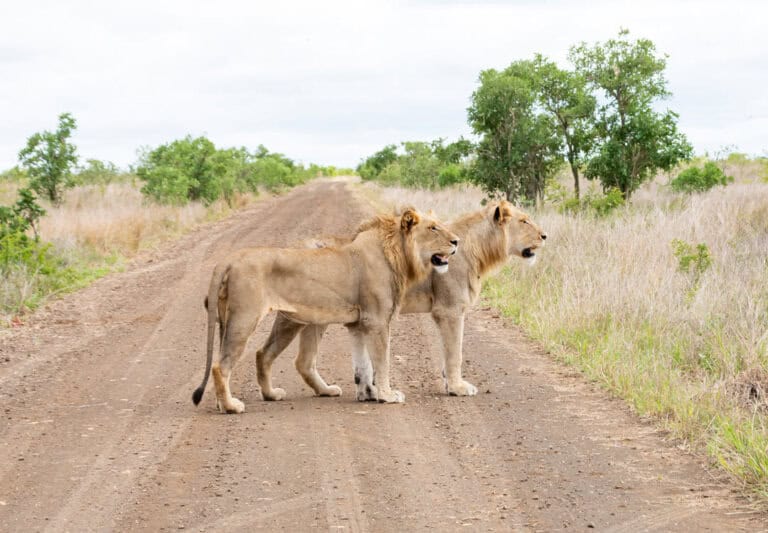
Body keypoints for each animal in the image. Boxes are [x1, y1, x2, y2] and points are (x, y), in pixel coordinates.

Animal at [190, 207, 462, 412]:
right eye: (433, 228)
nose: (457, 241)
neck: (397, 254)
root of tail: (229, 259)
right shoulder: (376, 320)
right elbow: (381, 362)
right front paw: (387, 394)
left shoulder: (360, 322)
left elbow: (364, 364)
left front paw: (371, 392)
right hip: (245, 318)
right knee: (221, 365)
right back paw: (231, 406)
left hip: (287, 320)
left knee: (269, 355)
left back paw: (273, 395)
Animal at [258, 200, 544, 400]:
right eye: (525, 221)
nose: (545, 236)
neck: (476, 249)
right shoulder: (449, 310)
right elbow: (455, 352)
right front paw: (457, 387)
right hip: (301, 316)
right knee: (284, 356)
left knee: (301, 360)